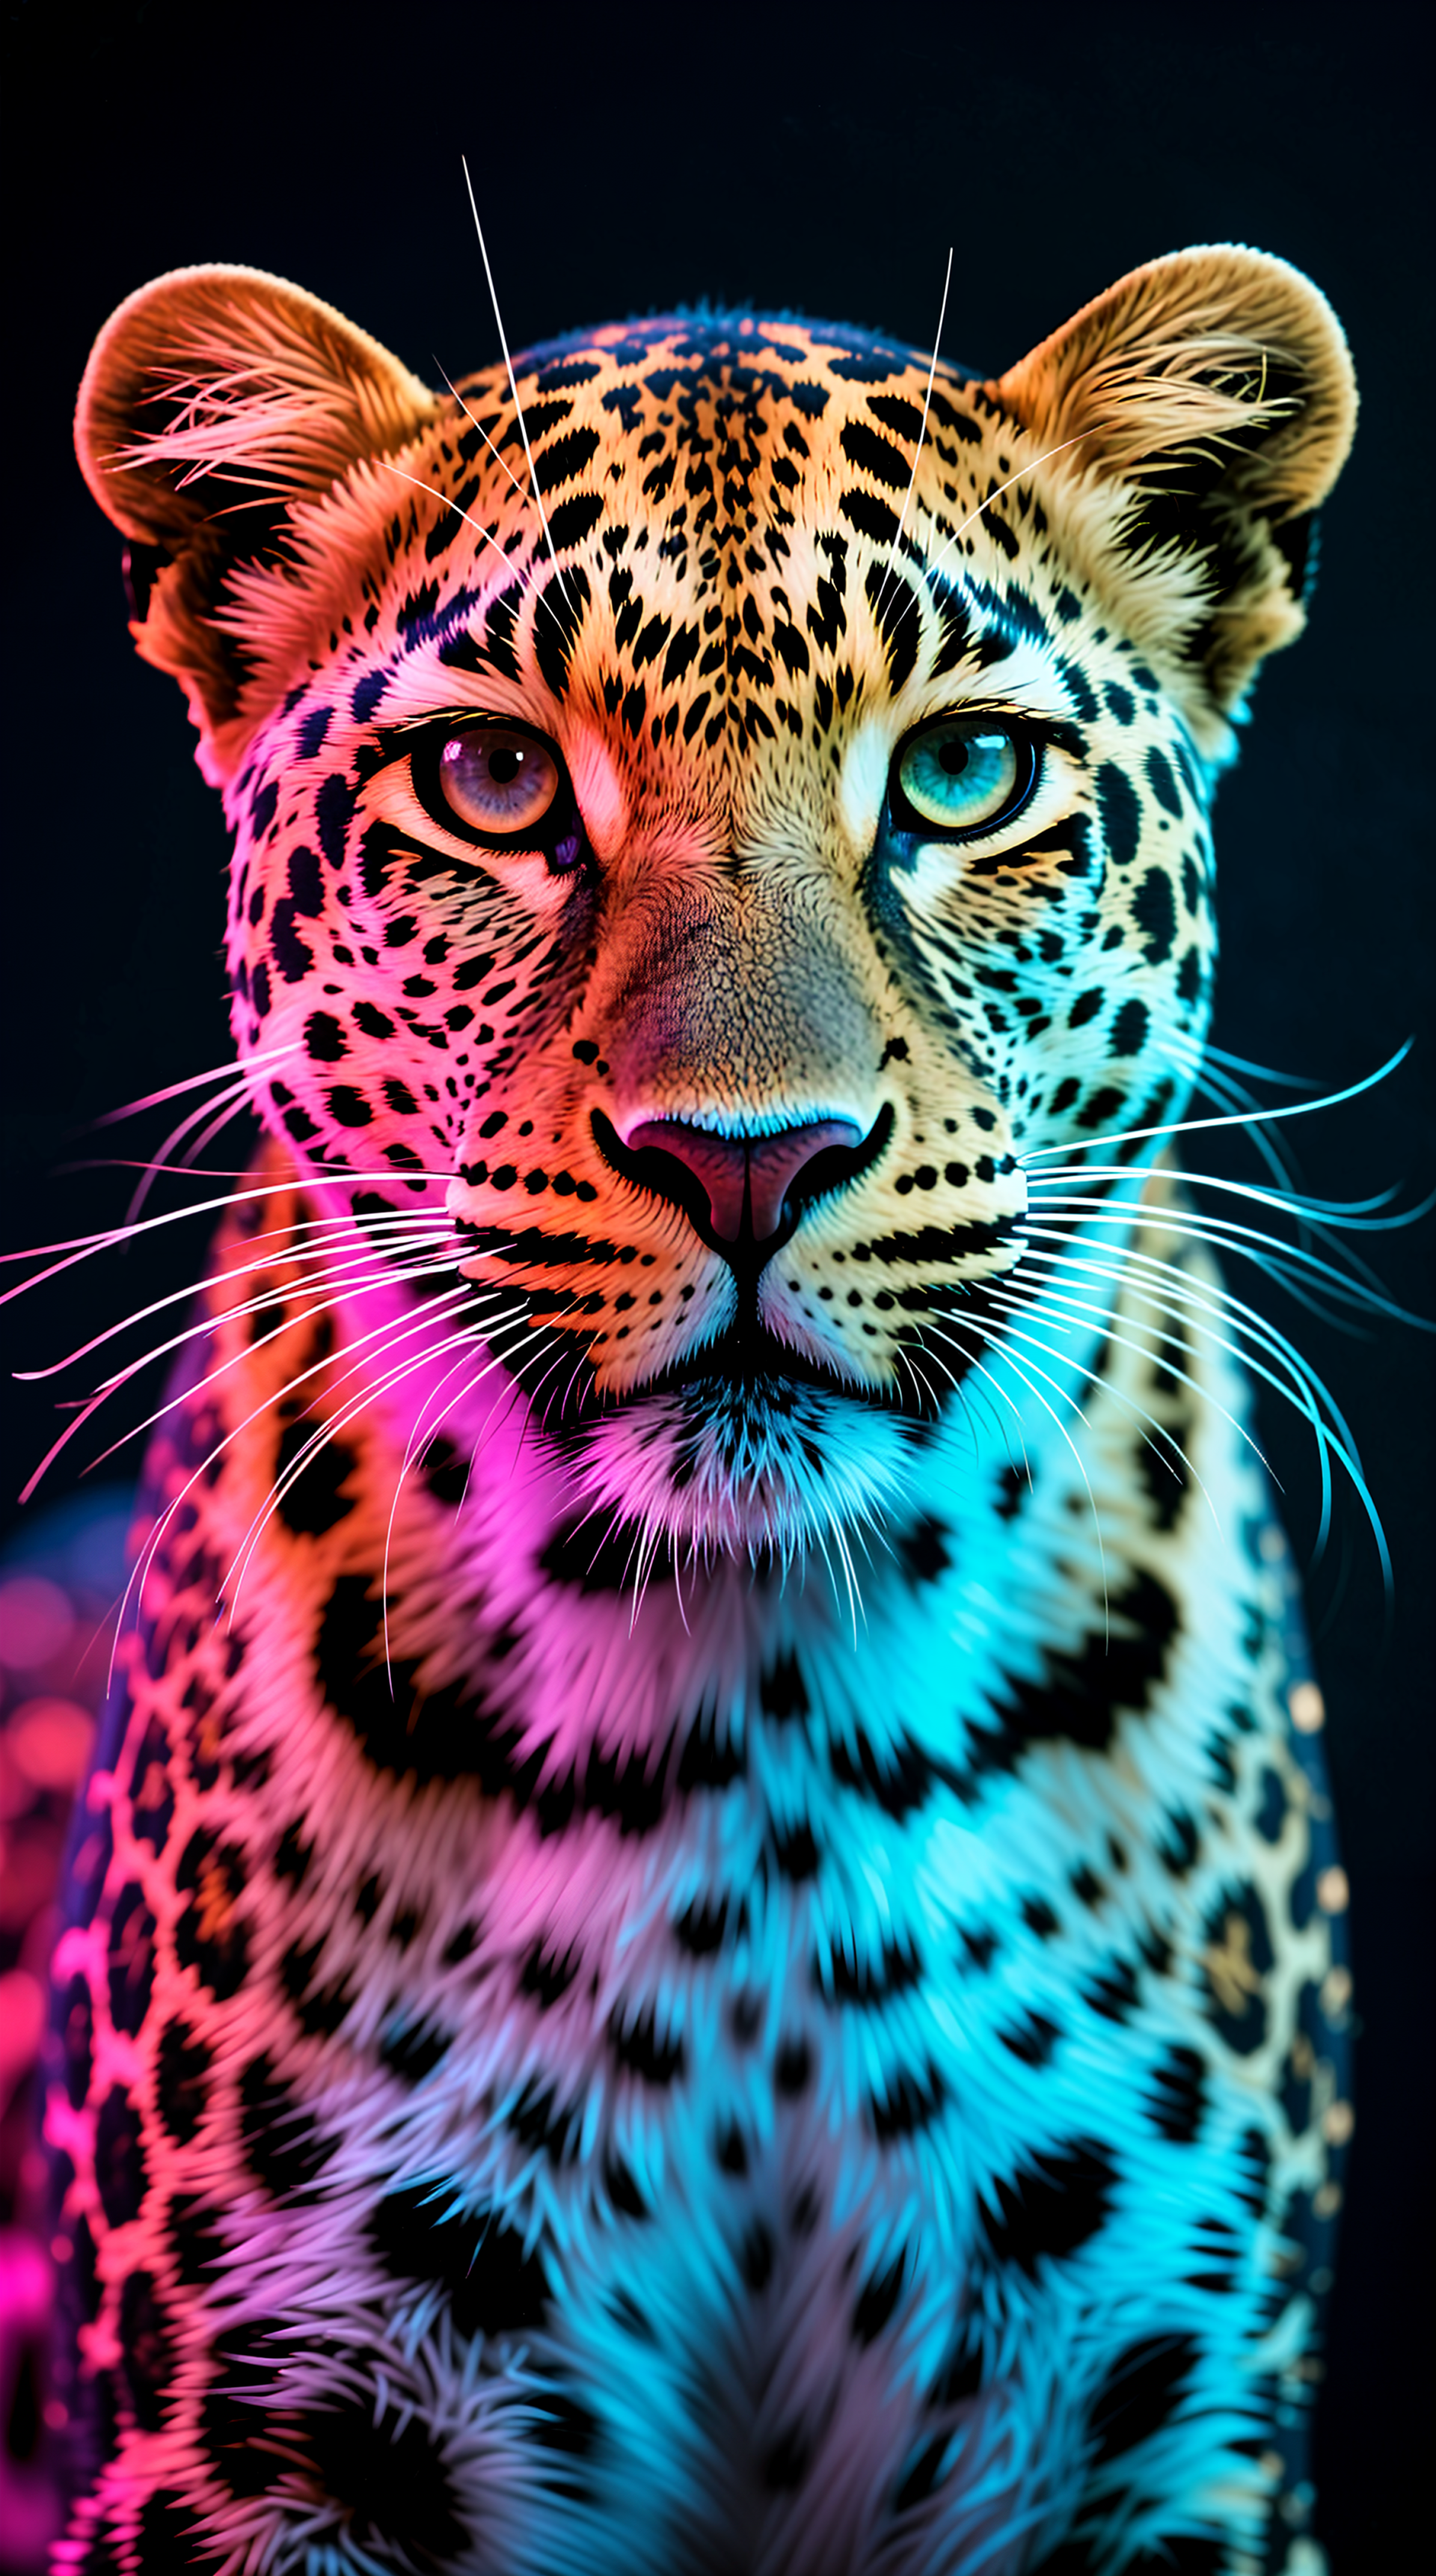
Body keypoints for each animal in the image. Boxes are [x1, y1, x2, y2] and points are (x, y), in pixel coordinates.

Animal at [42, 240, 1361, 2574]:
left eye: (962, 779)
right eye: (490, 783)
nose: (751, 1156)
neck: (755, 1731)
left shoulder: (1174, 2428)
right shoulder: (257, 2441)